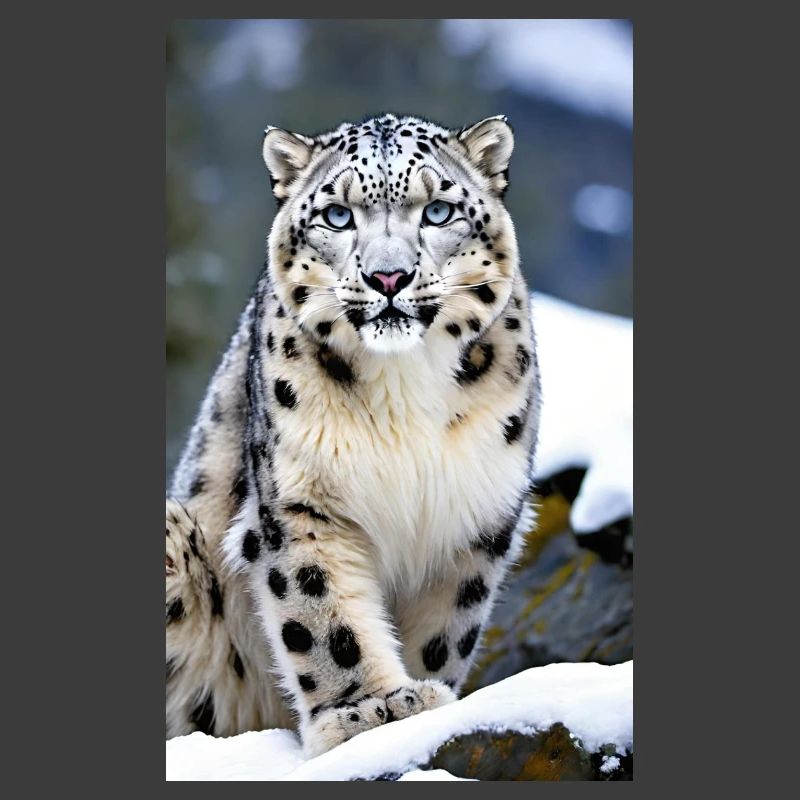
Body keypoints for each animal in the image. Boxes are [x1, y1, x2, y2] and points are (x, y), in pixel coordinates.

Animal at [166, 113, 541, 757]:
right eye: (337, 215)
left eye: (438, 210)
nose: (388, 276)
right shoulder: (300, 500)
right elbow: (321, 611)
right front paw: (368, 711)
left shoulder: (473, 511)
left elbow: (445, 628)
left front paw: (420, 696)